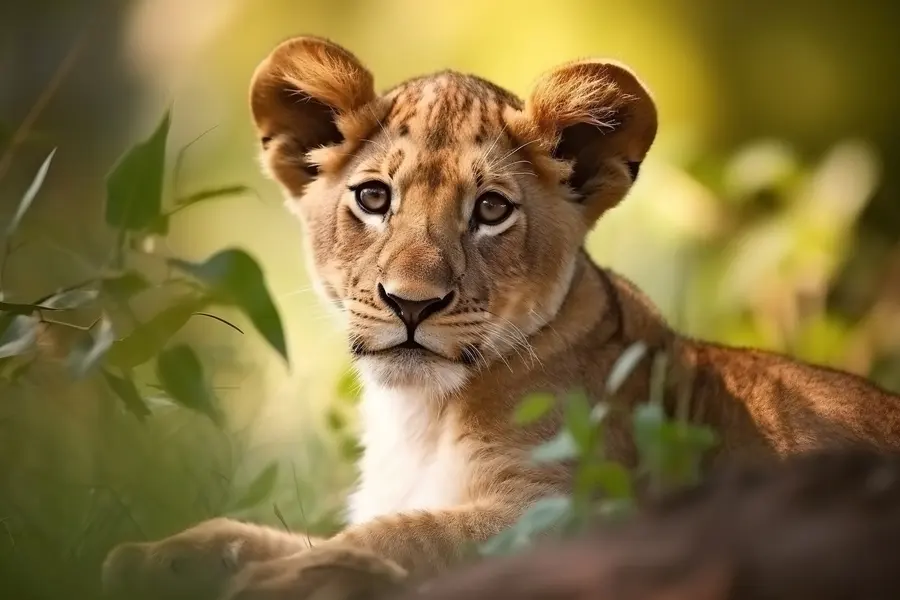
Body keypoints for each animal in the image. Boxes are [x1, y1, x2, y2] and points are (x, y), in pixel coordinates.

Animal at [102, 35, 900, 600]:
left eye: (490, 210)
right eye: (373, 197)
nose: (411, 303)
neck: (419, 417)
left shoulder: (575, 510)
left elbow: (410, 534)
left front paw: (289, 579)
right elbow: (279, 532)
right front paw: (157, 556)